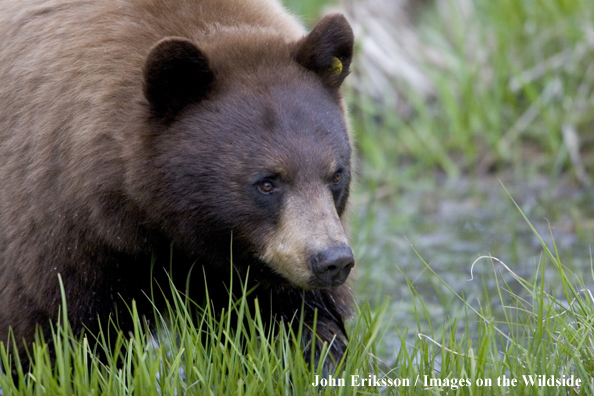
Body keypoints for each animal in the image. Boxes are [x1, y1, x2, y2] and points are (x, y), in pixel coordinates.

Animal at [0, 0, 352, 368]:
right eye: (267, 182)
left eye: (336, 174)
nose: (333, 260)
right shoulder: (59, 229)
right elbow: (62, 332)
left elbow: (288, 316)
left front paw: (318, 352)